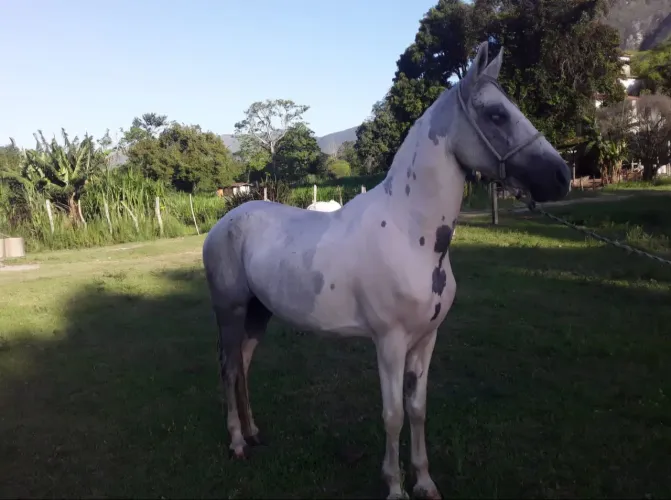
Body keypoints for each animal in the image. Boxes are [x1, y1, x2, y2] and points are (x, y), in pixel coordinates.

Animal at [202, 41, 571, 500]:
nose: (561, 176)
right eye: (496, 114)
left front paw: (425, 482)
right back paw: (237, 443)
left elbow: (417, 409)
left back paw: (253, 433)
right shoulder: (390, 343)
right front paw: (395, 486)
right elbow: (392, 414)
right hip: (231, 312)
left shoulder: (426, 340)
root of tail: (223, 224)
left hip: (258, 313)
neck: (409, 232)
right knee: (229, 368)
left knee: (244, 366)